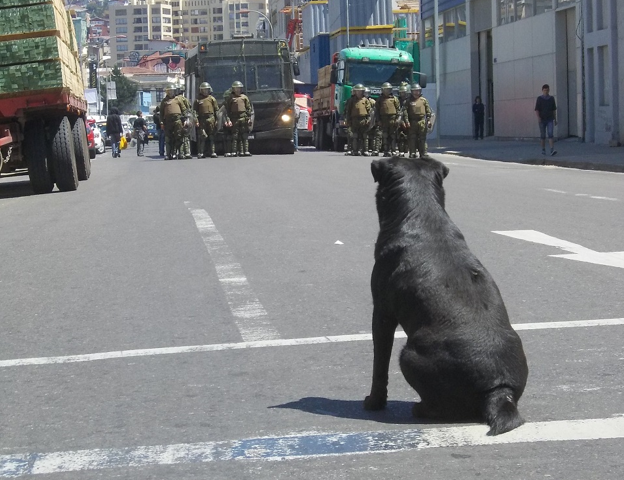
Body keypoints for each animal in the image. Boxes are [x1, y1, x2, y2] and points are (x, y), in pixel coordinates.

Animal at [364, 158, 528, 436]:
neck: (423, 213)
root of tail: (499, 392)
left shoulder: (382, 313)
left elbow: (379, 365)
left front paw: (374, 402)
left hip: (408, 355)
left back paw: (421, 409)